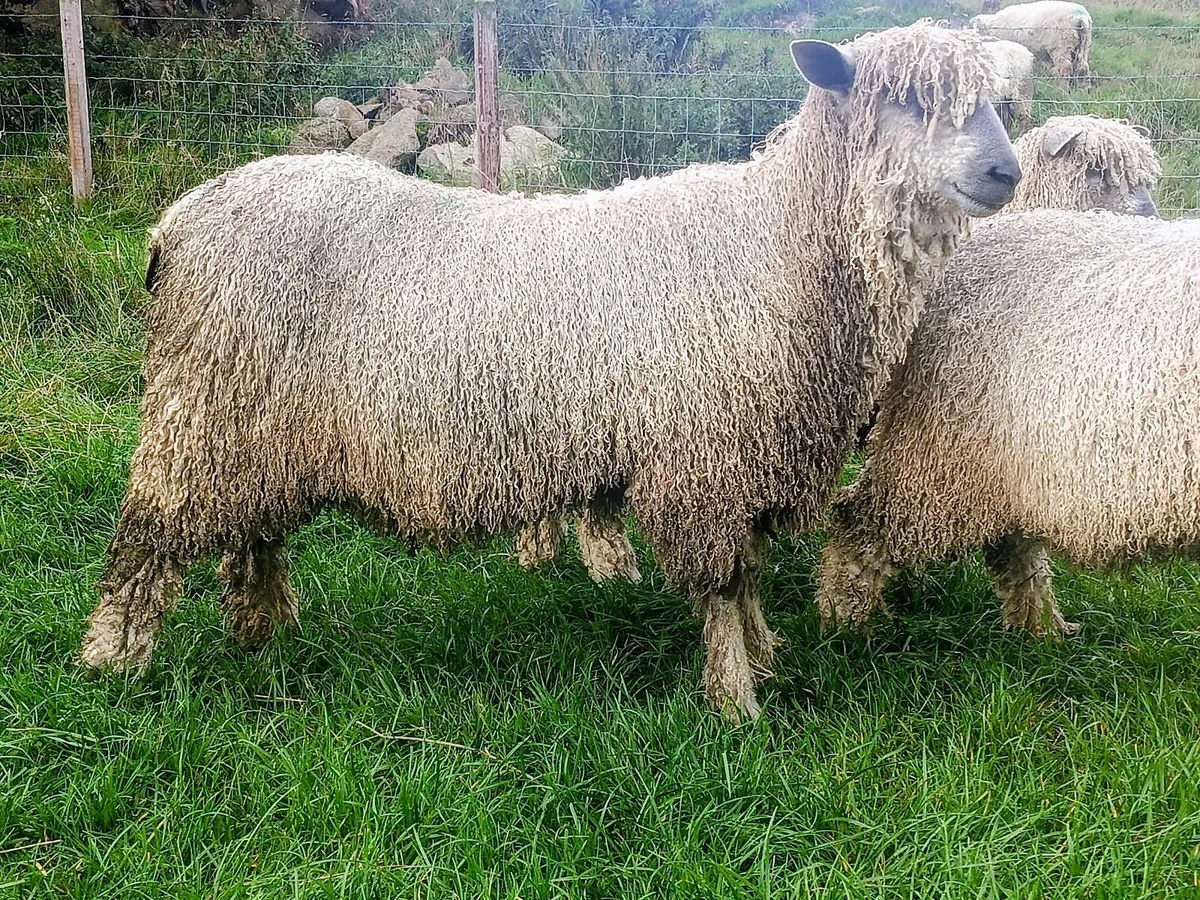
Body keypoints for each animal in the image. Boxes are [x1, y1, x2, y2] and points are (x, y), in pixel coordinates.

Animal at [79, 22, 1021, 722]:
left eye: (1002, 105)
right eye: (908, 101)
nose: (1006, 170)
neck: (783, 244)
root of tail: (176, 224)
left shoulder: (753, 452)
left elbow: (748, 574)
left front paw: (765, 656)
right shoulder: (707, 459)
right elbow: (723, 584)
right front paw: (736, 701)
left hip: (253, 425)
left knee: (255, 533)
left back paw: (264, 629)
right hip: (197, 413)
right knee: (144, 538)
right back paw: (113, 661)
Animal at [815, 210, 1200, 637]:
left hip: (1010, 467)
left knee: (1013, 550)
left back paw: (1042, 632)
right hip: (943, 450)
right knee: (861, 524)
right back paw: (842, 626)